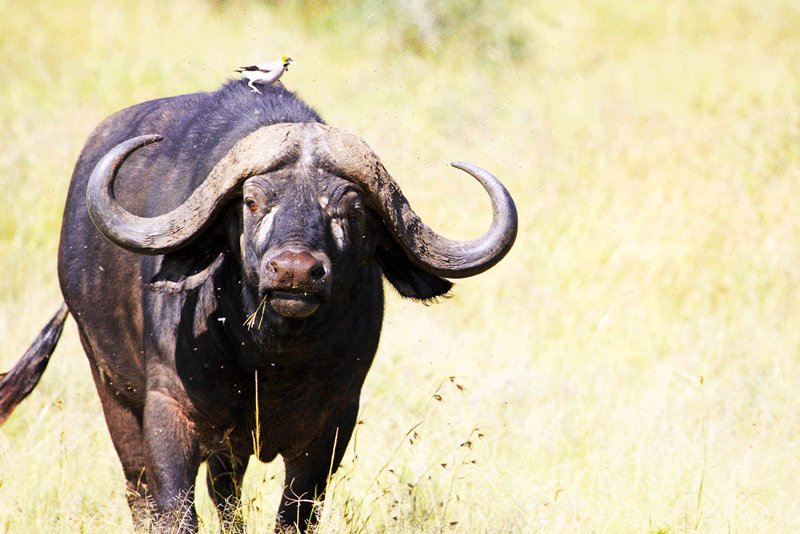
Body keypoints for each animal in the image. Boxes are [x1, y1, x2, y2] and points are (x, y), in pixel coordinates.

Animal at [0, 79, 516, 532]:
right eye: (252, 201)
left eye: (351, 208)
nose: (294, 272)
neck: (268, 360)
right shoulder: (170, 411)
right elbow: (174, 510)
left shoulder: (331, 426)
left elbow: (294, 515)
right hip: (111, 387)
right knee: (141, 492)